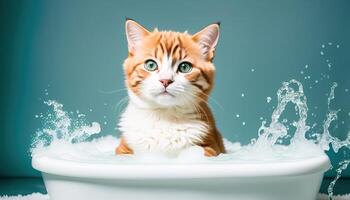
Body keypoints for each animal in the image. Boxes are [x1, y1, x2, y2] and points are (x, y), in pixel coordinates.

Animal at [115, 18, 224, 156]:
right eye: (151, 65)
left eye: (184, 67)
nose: (165, 80)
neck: (165, 116)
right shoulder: (124, 148)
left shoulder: (213, 146)